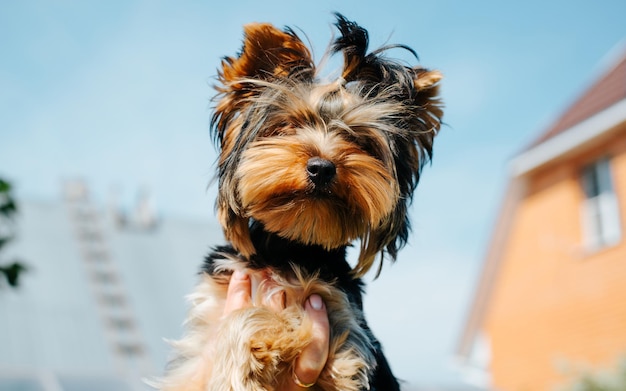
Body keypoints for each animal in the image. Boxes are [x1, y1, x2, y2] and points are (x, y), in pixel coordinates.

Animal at [156, 13, 444, 391]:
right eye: (288, 126)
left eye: (360, 141)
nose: (322, 167)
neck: (290, 246)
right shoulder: (206, 332)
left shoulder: (342, 326)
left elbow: (258, 316)